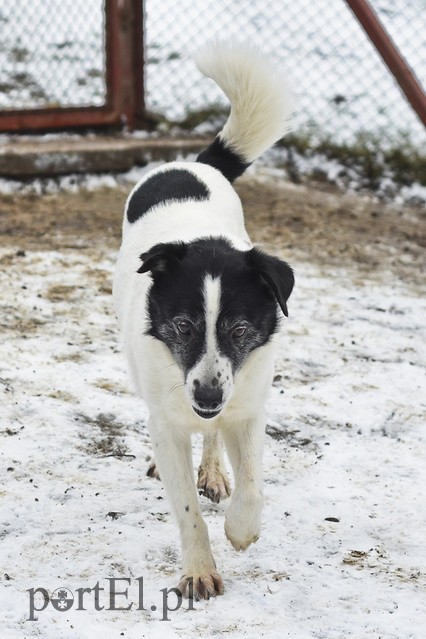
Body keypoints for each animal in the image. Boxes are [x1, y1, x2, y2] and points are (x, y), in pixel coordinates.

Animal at [111, 42, 294, 604]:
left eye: (239, 330)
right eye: (183, 326)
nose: (209, 396)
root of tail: (189, 164)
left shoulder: (247, 403)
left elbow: (253, 486)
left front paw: (240, 529)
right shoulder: (172, 418)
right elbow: (187, 508)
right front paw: (198, 570)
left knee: (213, 442)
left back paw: (213, 470)